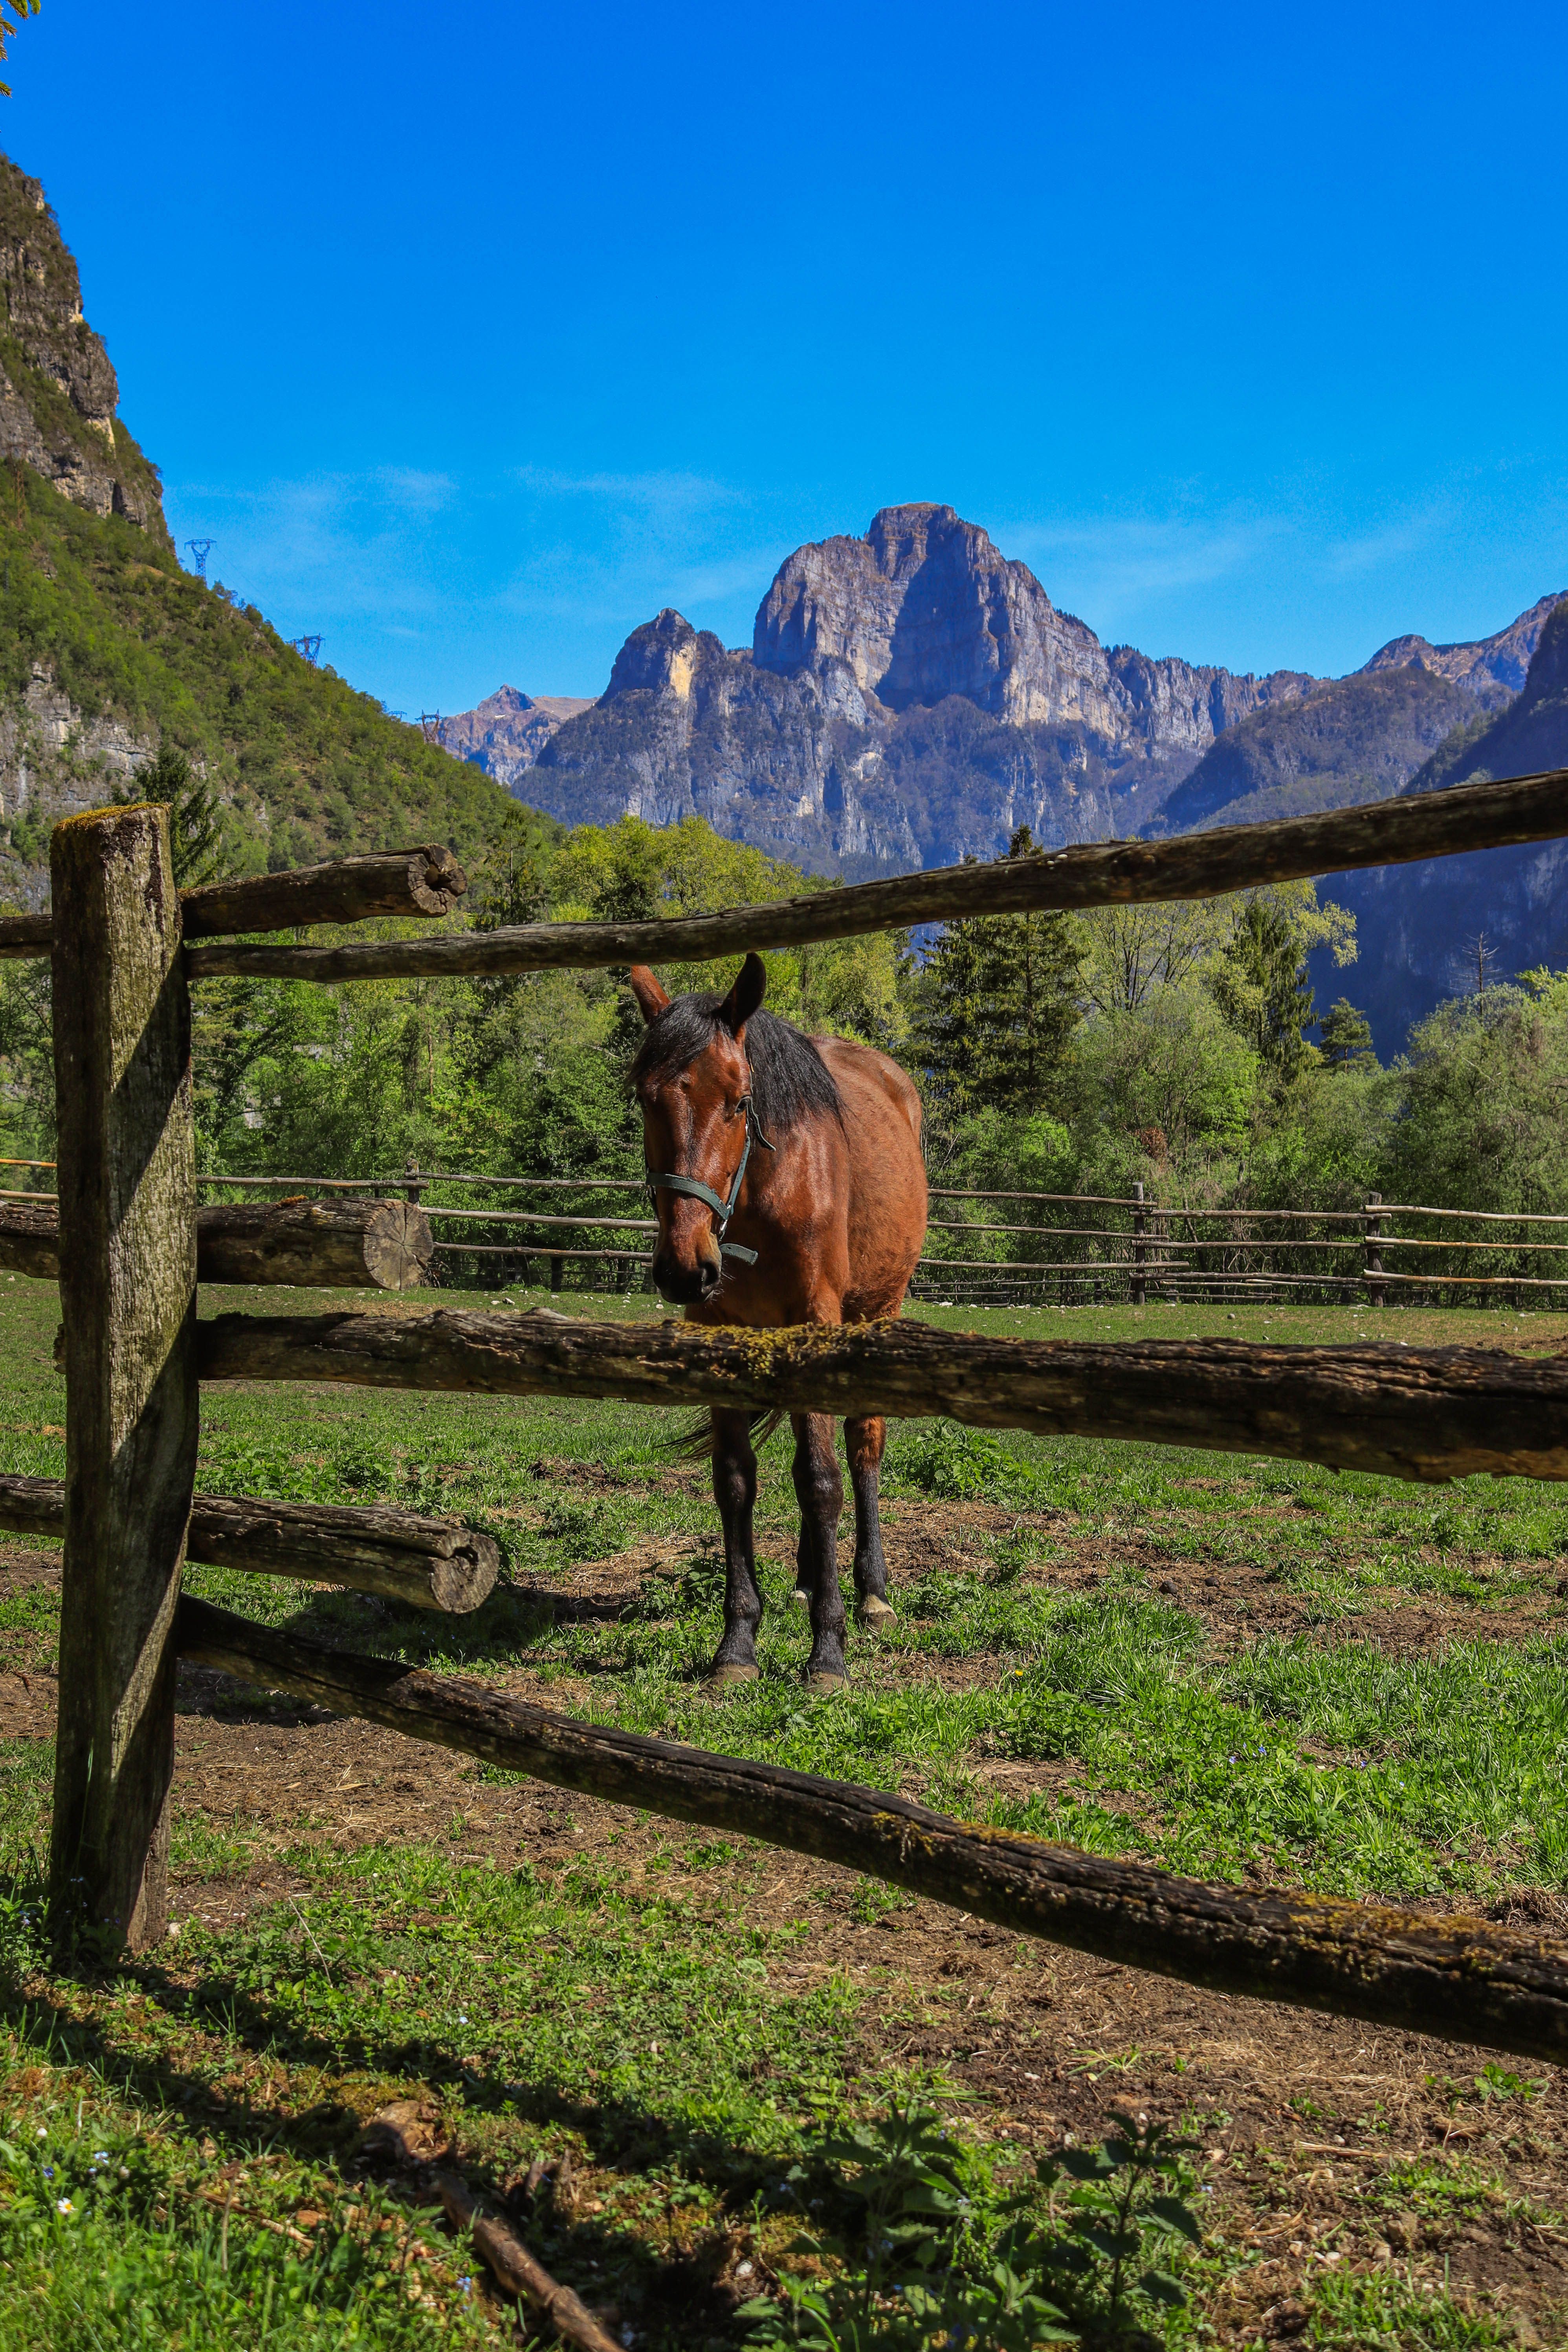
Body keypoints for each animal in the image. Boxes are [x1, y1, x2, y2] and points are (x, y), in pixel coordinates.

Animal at [628, 952, 928, 1694]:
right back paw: (805, 1577)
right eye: (645, 1098)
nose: (685, 1267)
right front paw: (738, 1642)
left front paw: (828, 1651)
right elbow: (736, 1480)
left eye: (739, 1101)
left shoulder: (815, 1321)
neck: (763, 1192)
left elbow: (820, 1480)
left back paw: (871, 1592)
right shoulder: (718, 1332)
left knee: (861, 1446)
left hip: (875, 1314)